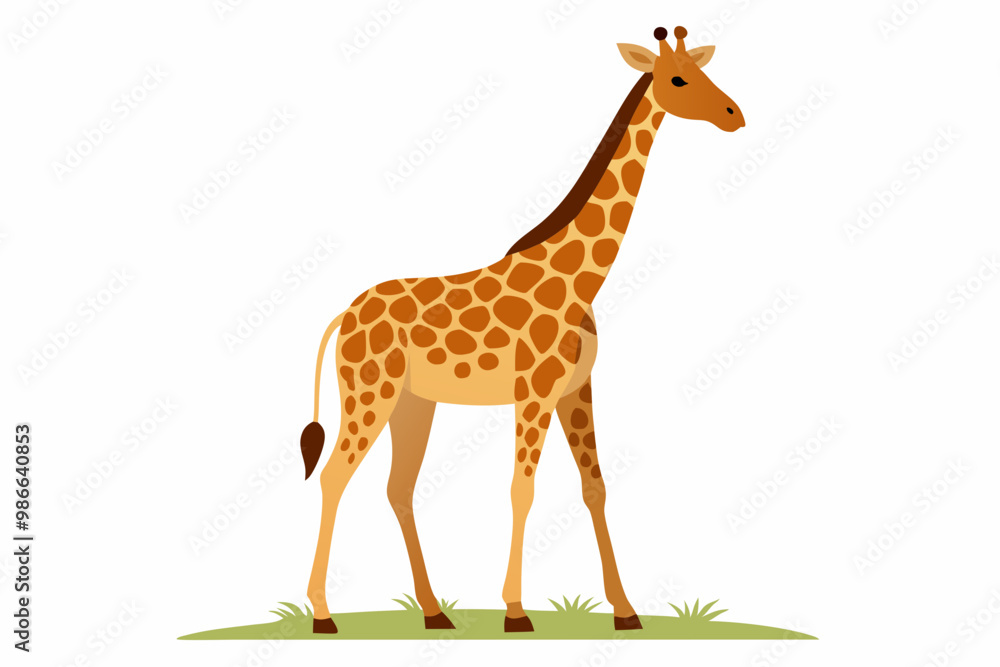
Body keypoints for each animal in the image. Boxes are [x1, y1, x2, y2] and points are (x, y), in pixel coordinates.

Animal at [300, 26, 744, 634]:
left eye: (701, 70)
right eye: (677, 79)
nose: (734, 114)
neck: (582, 278)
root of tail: (343, 315)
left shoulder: (576, 390)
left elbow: (594, 487)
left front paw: (625, 611)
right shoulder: (533, 390)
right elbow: (522, 489)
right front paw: (515, 611)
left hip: (414, 402)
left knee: (399, 488)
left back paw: (434, 612)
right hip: (370, 392)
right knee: (334, 477)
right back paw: (323, 614)